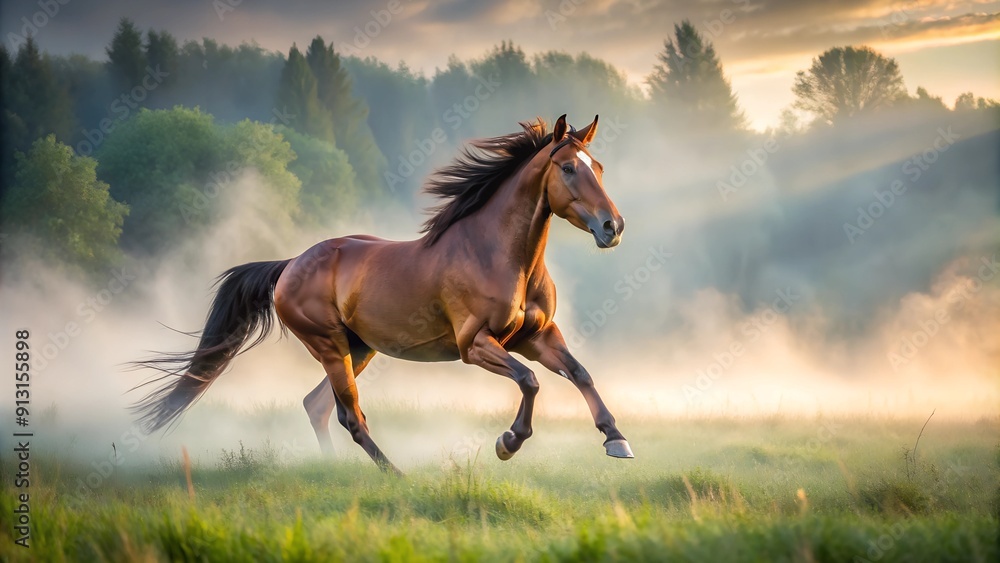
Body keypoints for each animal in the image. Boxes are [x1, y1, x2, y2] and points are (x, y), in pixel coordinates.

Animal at [133, 114, 633, 474]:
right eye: (567, 169)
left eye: (598, 167)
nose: (613, 227)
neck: (499, 254)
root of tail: (289, 265)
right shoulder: (476, 345)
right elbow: (529, 381)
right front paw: (506, 443)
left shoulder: (537, 336)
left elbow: (580, 373)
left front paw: (616, 440)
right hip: (330, 345)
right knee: (349, 415)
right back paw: (396, 474)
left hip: (359, 347)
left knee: (317, 405)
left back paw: (335, 470)